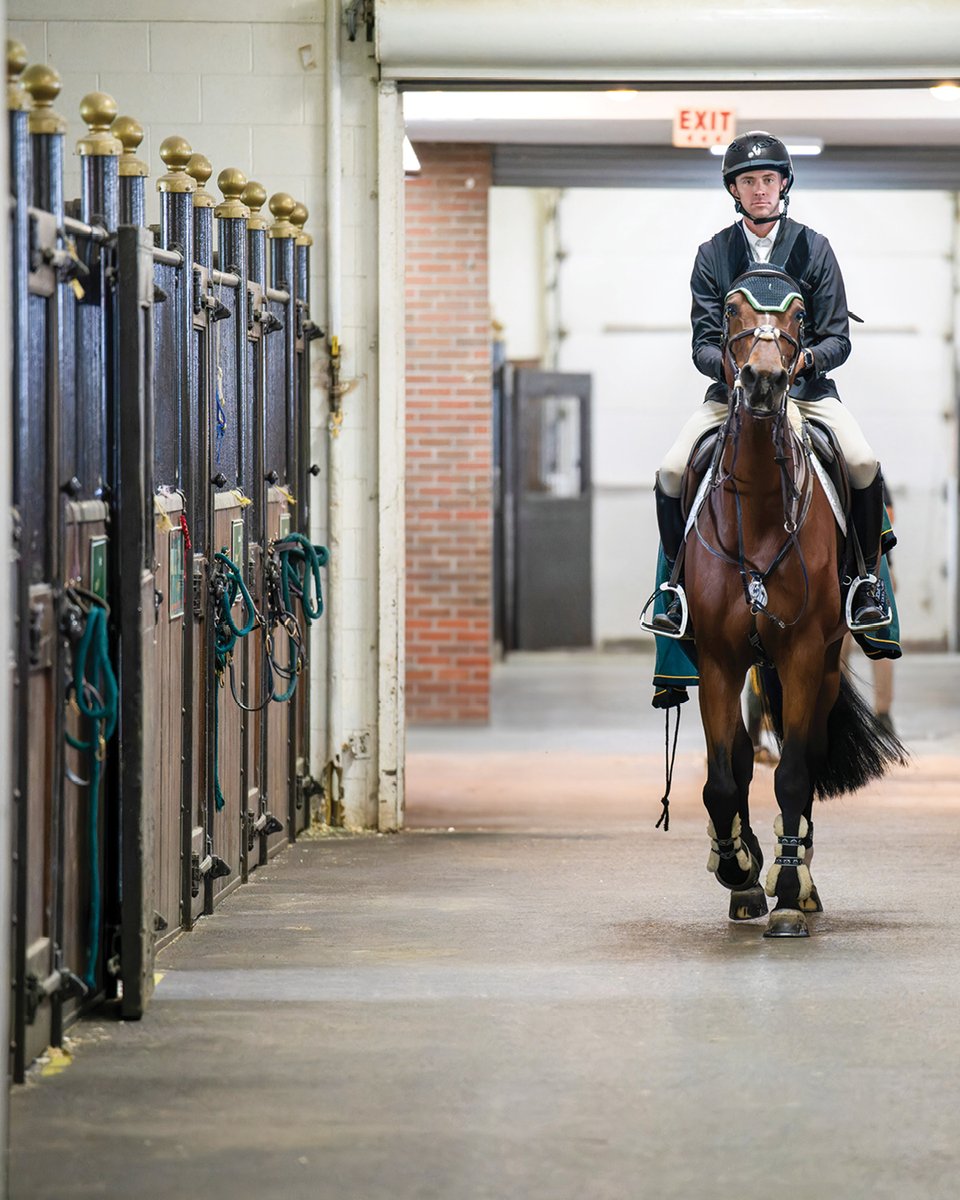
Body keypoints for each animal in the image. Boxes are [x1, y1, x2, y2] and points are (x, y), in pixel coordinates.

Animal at [681, 267, 907, 940]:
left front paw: (783, 895)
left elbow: (794, 774)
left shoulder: (805, 654)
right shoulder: (719, 660)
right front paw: (739, 875)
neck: (758, 506)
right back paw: (741, 859)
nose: (762, 380)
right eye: (731, 308)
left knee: (803, 761)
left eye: (800, 315)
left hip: (824, 664)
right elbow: (723, 778)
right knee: (738, 759)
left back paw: (799, 881)